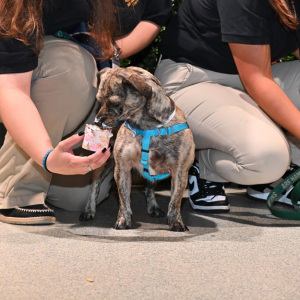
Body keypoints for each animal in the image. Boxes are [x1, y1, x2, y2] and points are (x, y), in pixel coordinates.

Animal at [81, 67, 196, 232]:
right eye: (99, 101)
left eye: (114, 102)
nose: (96, 122)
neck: (147, 127)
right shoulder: (122, 169)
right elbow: (123, 198)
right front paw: (123, 219)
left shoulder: (180, 172)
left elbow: (175, 200)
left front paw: (175, 221)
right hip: (103, 165)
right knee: (94, 186)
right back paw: (89, 210)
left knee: (149, 187)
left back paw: (153, 207)